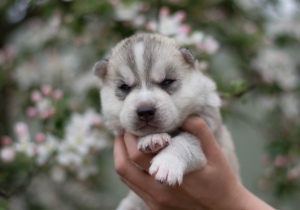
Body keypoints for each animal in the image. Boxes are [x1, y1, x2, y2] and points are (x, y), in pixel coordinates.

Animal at [92, 32, 240, 210]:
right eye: (125, 87)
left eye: (167, 82)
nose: (145, 111)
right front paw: (151, 139)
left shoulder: (209, 136)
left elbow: (186, 141)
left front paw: (167, 163)